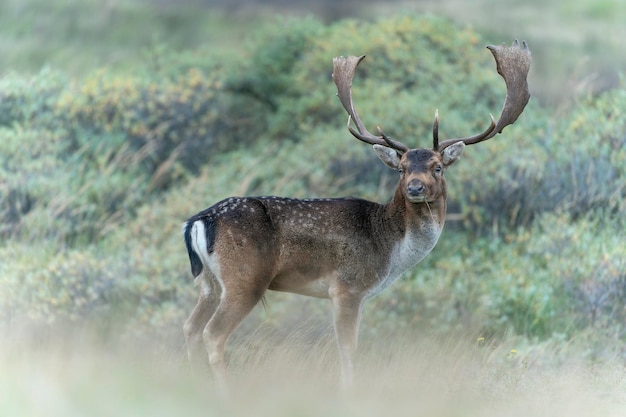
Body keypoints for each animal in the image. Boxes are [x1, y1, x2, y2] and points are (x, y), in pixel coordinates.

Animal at [183, 40, 528, 388]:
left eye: (437, 167)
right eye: (402, 169)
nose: (415, 187)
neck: (390, 250)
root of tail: (199, 221)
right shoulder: (348, 287)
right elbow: (348, 350)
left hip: (209, 282)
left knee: (190, 328)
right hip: (245, 278)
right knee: (213, 333)